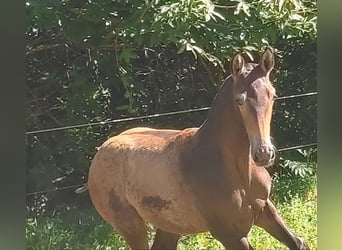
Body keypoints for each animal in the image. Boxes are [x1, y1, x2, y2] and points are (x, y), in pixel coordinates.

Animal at [77, 47, 310, 249]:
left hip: (169, 225)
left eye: (273, 95)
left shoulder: (265, 210)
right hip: (131, 226)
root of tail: (100, 152)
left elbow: (298, 243)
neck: (238, 174)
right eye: (239, 101)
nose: (263, 154)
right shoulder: (228, 233)